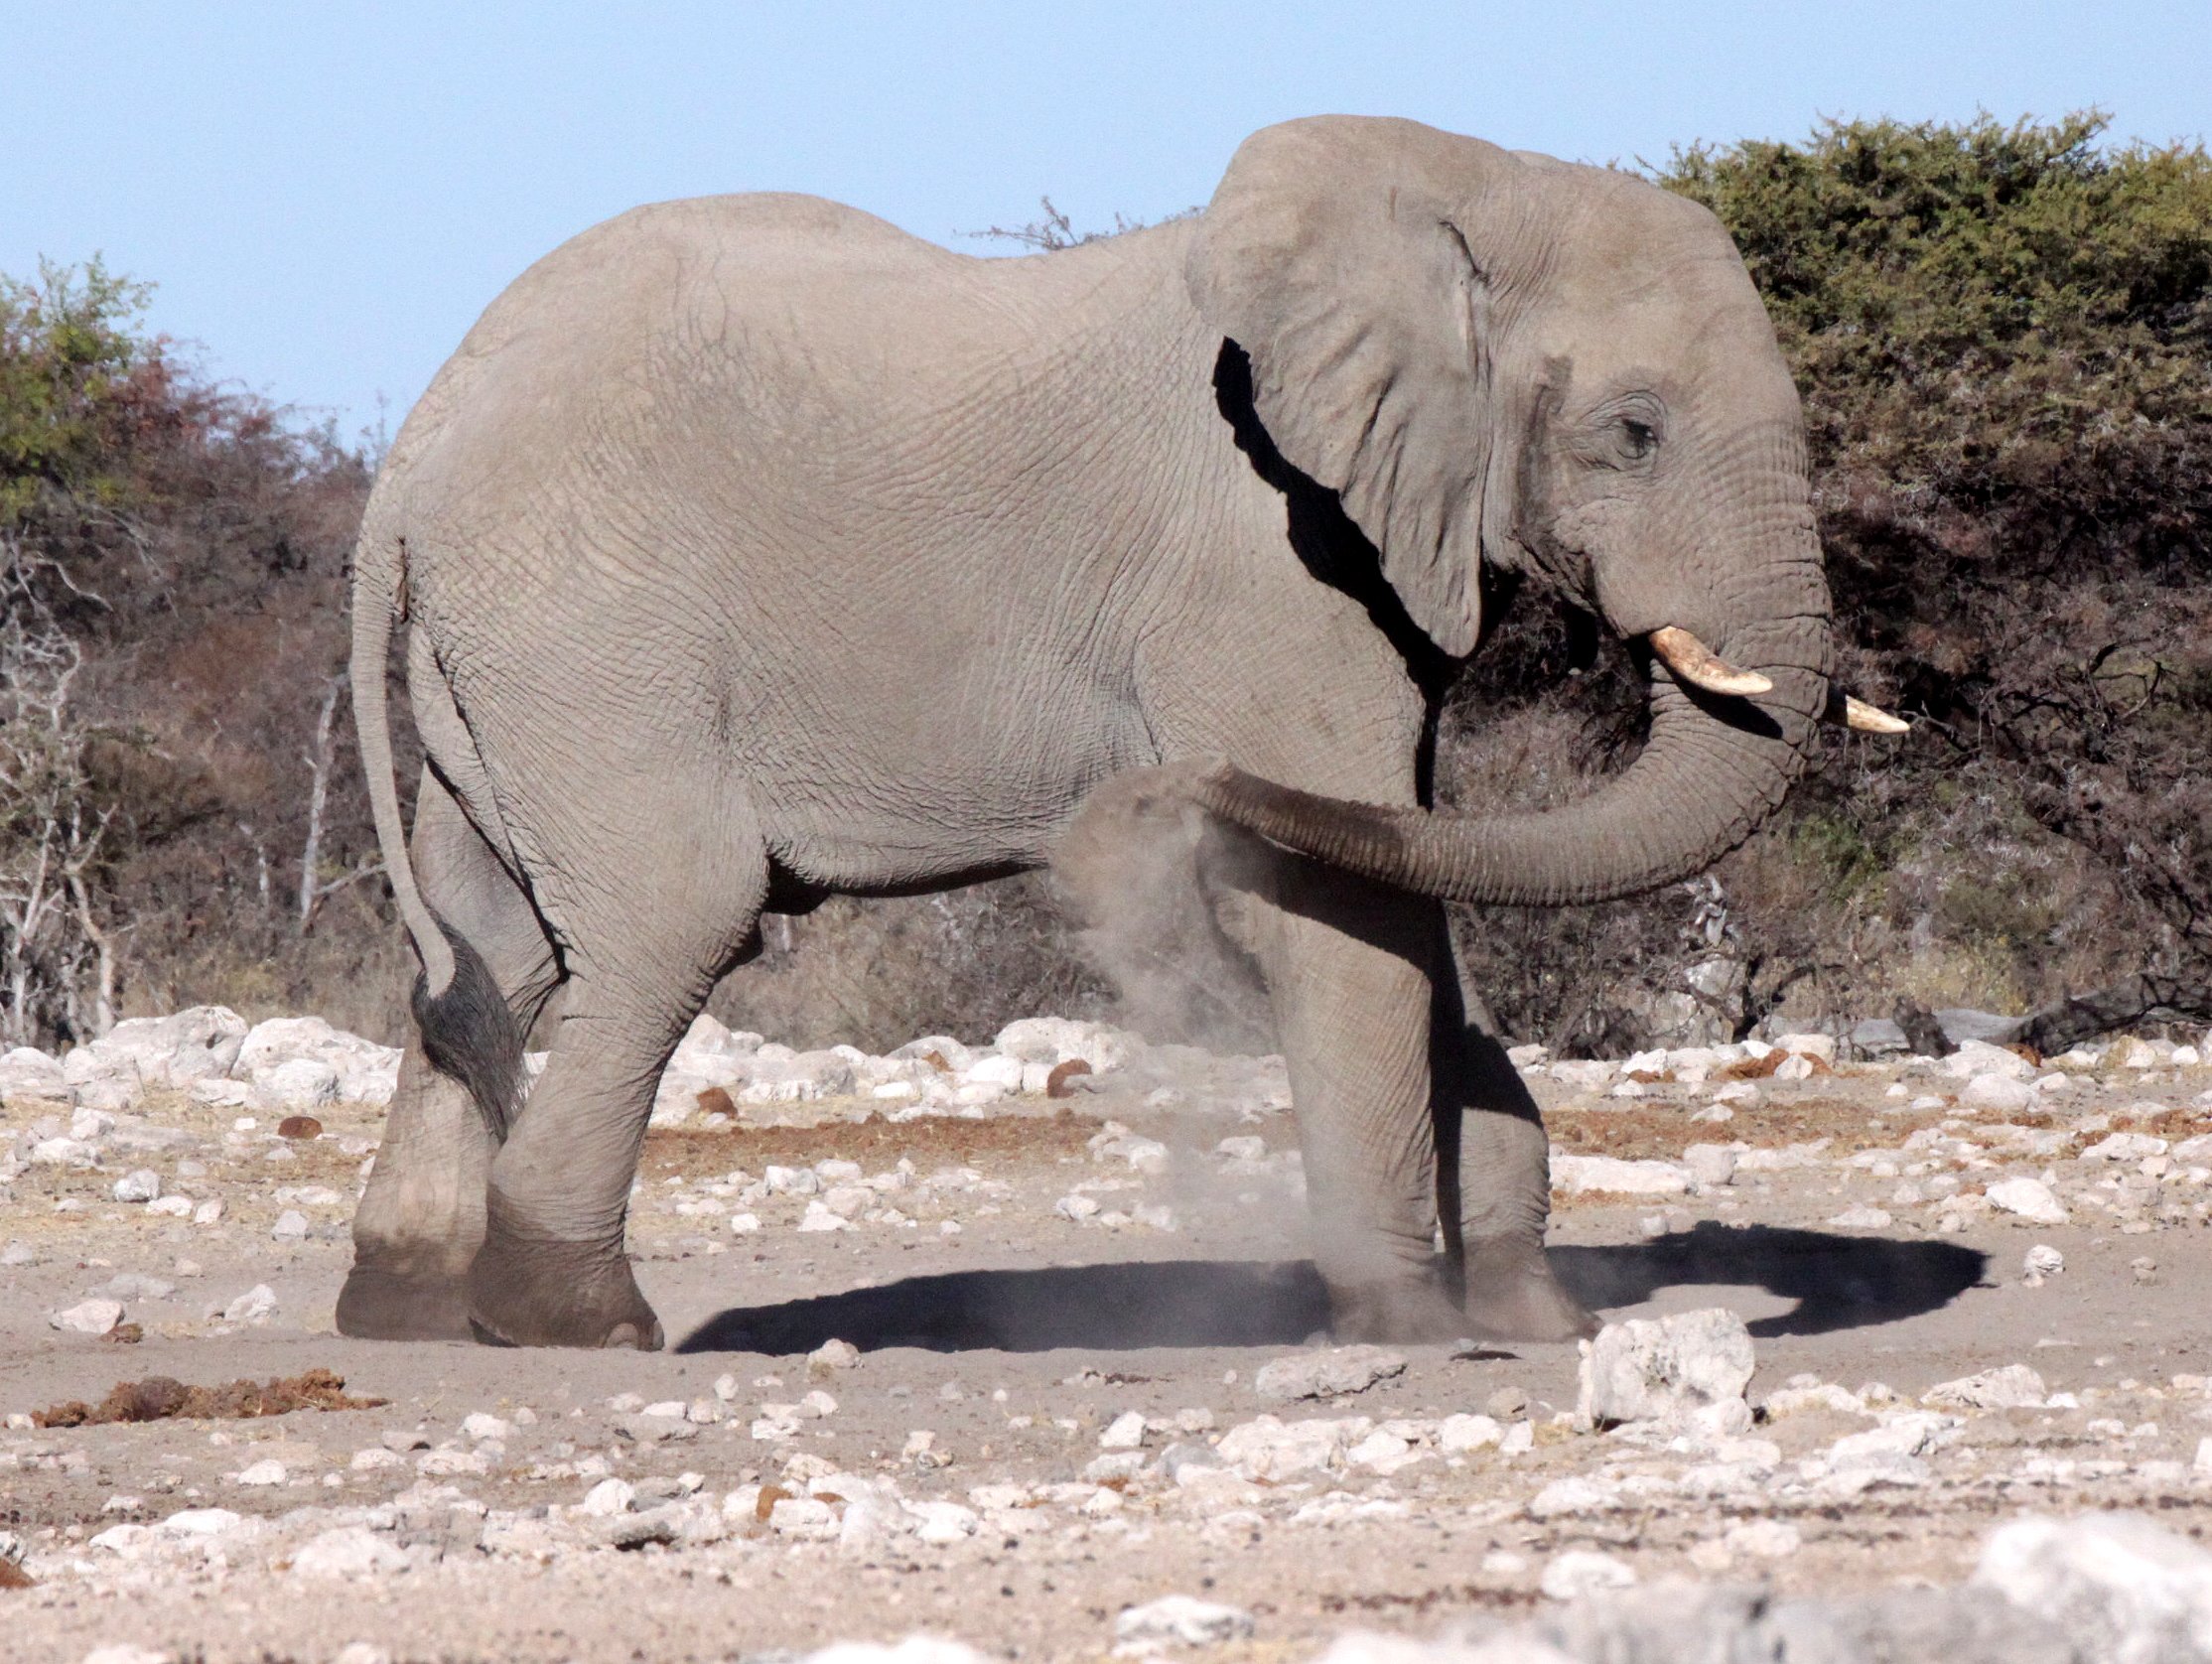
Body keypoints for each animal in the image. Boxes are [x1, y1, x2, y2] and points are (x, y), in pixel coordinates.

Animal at [338, 114, 1897, 1351]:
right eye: (1634, 431)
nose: (1150, 795)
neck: (1462, 183)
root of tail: (411, 456)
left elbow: (1401, 866)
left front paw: (1530, 1311)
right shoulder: (1267, 556)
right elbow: (1339, 910)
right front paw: (1410, 1323)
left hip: (514, 664)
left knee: (496, 947)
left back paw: (409, 1310)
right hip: (596, 634)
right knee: (673, 922)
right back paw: (577, 1324)